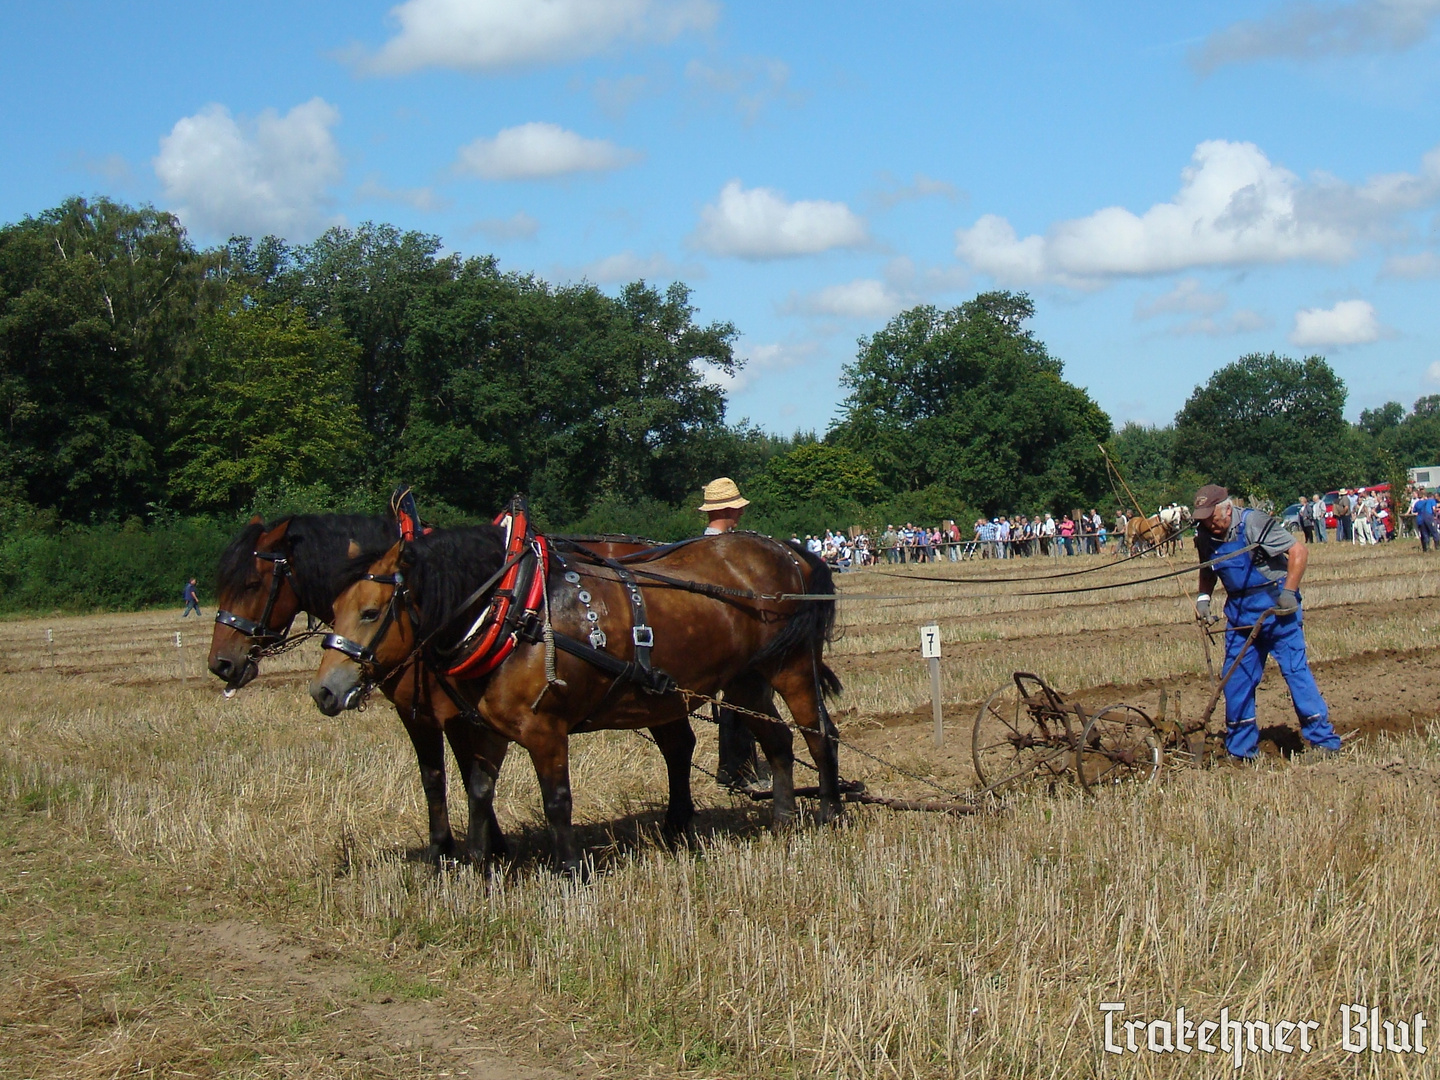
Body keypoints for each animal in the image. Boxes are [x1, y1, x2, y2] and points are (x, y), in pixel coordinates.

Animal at [308, 529, 840, 875]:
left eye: (370, 611)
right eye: (332, 608)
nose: (324, 691)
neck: (511, 613)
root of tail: (789, 553)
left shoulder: (545, 728)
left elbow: (557, 799)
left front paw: (567, 870)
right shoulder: (485, 727)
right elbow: (478, 790)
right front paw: (477, 864)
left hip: (792, 669)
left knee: (820, 735)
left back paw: (830, 813)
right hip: (747, 682)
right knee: (777, 740)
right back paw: (782, 820)